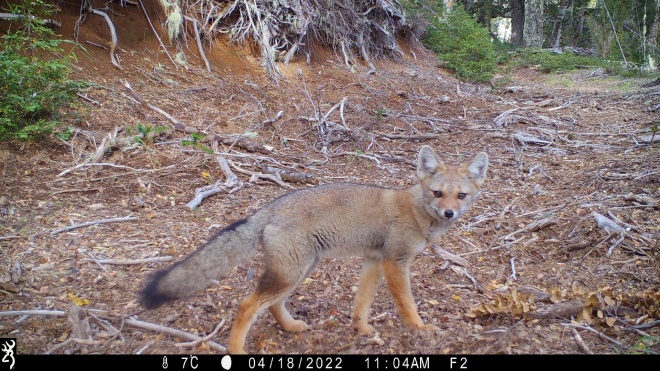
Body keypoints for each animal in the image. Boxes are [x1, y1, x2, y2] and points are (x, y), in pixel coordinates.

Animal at [141, 145, 490, 354]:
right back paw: (237, 350)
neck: (417, 212)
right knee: (246, 305)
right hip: (293, 272)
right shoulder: (395, 263)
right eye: (437, 193)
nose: (449, 213)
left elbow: (361, 303)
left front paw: (362, 329)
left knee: (272, 305)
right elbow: (407, 304)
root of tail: (268, 209)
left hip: (301, 269)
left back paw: (291, 327)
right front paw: (419, 328)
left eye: (460, 195)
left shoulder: (374, 261)